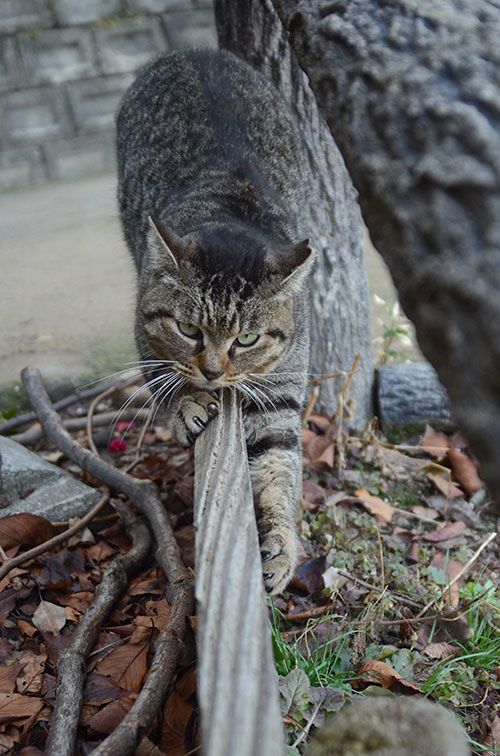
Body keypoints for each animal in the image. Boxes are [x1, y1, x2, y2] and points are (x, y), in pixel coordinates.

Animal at [115, 47, 314, 592]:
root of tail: (192, 50)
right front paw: (186, 403)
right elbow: (160, 377)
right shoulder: (144, 328)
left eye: (246, 338)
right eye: (189, 330)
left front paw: (281, 546)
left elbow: (279, 472)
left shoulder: (281, 393)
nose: (213, 371)